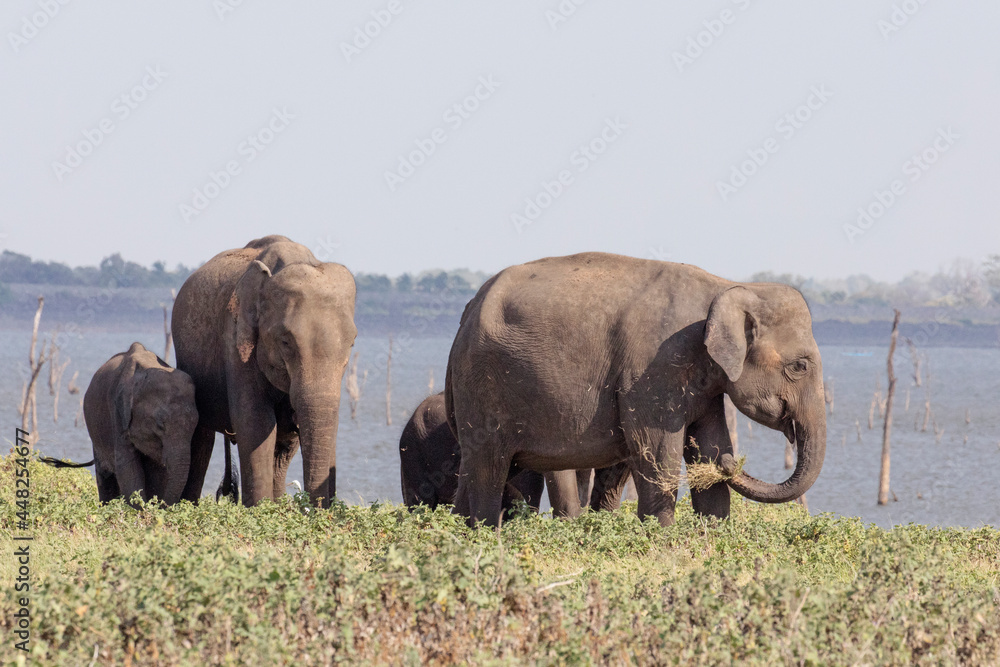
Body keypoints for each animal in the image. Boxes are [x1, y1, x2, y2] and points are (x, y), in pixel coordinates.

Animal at [40, 342, 198, 505]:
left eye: (195, 426)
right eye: (160, 425)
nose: (161, 506)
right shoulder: (117, 413)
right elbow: (127, 468)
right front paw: (143, 507)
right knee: (104, 476)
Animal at [171, 235, 357, 507]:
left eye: (352, 343)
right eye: (286, 342)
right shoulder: (236, 341)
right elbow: (256, 424)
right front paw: (260, 510)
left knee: (283, 448)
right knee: (202, 436)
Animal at [445, 252, 826, 527]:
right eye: (799, 366)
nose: (736, 463)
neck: (728, 286)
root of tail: (466, 314)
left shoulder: (704, 384)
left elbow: (709, 444)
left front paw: (713, 533)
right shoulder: (652, 369)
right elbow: (657, 454)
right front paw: (663, 542)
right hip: (481, 388)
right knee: (488, 471)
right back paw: (484, 533)